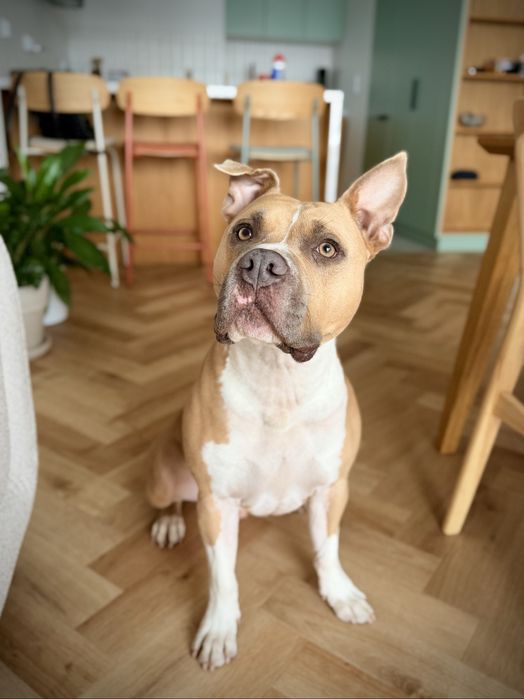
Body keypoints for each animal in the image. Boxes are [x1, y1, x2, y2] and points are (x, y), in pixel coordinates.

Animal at [147, 153, 407, 670]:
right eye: (244, 231)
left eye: (328, 248)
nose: (261, 264)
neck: (280, 380)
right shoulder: (215, 503)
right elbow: (222, 576)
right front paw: (218, 629)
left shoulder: (333, 489)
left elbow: (328, 549)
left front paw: (338, 593)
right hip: (168, 477)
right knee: (171, 498)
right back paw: (168, 521)